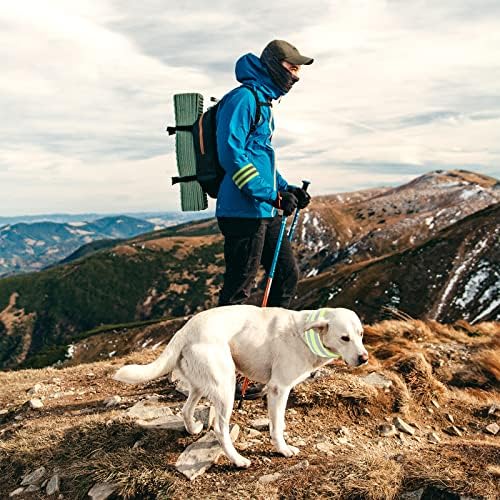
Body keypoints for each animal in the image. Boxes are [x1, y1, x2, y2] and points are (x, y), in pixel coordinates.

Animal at [116, 304, 368, 468]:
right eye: (345, 338)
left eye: (361, 334)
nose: (364, 358)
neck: (304, 335)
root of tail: (184, 330)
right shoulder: (278, 389)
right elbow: (277, 426)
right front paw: (283, 449)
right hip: (225, 386)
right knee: (220, 429)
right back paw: (237, 460)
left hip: (201, 384)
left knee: (186, 409)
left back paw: (193, 429)